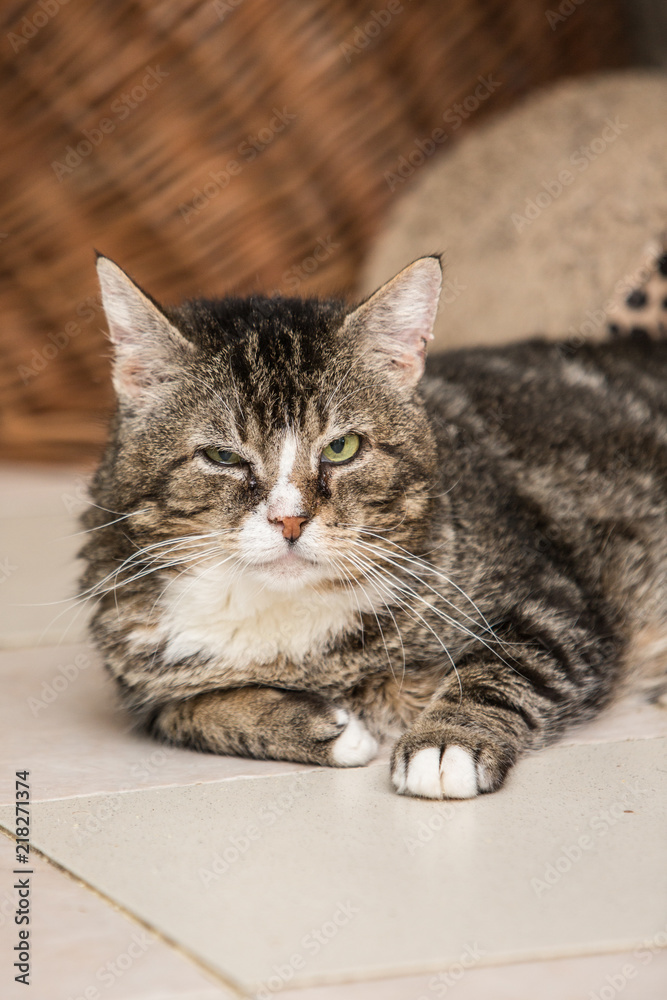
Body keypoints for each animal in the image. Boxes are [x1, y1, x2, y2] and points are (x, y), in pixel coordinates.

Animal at [79, 252, 667, 804]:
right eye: (223, 456)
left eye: (342, 448)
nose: (289, 519)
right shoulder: (140, 677)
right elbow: (186, 711)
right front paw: (320, 725)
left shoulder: (558, 602)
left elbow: (506, 669)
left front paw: (445, 742)